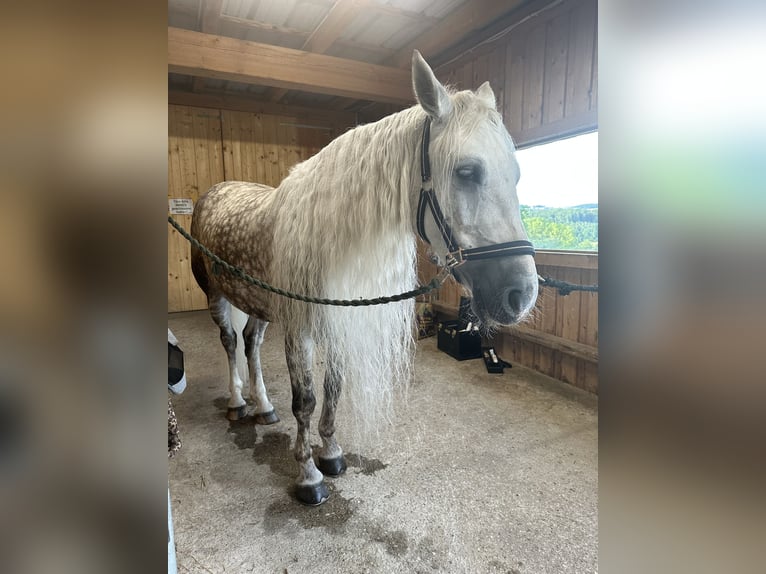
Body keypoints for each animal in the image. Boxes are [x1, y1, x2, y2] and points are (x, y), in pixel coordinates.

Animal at [190, 50, 538, 505]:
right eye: (466, 171)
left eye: (516, 174)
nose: (522, 294)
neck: (326, 236)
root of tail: (214, 192)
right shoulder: (300, 330)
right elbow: (306, 400)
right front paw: (308, 476)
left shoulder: (340, 321)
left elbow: (334, 390)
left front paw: (331, 454)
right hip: (217, 296)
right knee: (231, 343)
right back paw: (237, 402)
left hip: (259, 305)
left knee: (251, 343)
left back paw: (263, 407)